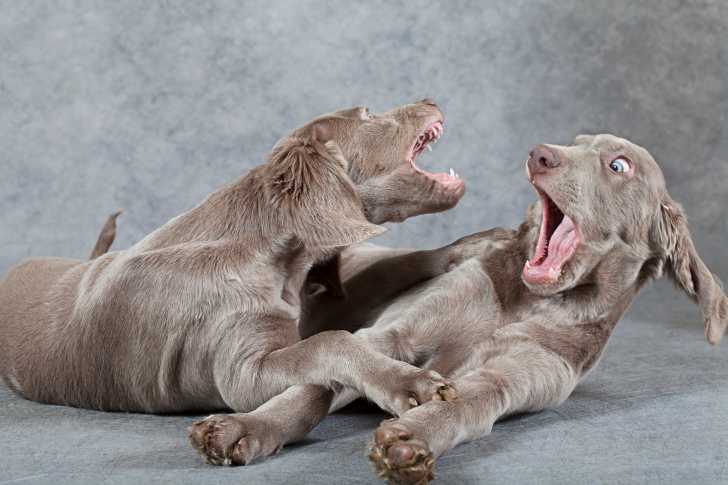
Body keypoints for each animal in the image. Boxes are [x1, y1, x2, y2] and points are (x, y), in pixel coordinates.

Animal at [0, 100, 466, 466]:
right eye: (368, 113)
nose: (430, 98)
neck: (271, 250)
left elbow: (384, 273)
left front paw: (463, 248)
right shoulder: (241, 375)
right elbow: (330, 341)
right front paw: (410, 383)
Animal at [249, 134, 727, 483]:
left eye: (619, 165)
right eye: (577, 142)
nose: (540, 154)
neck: (527, 304)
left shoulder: (516, 377)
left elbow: (465, 402)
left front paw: (412, 438)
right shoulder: (390, 335)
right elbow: (320, 382)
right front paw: (251, 429)